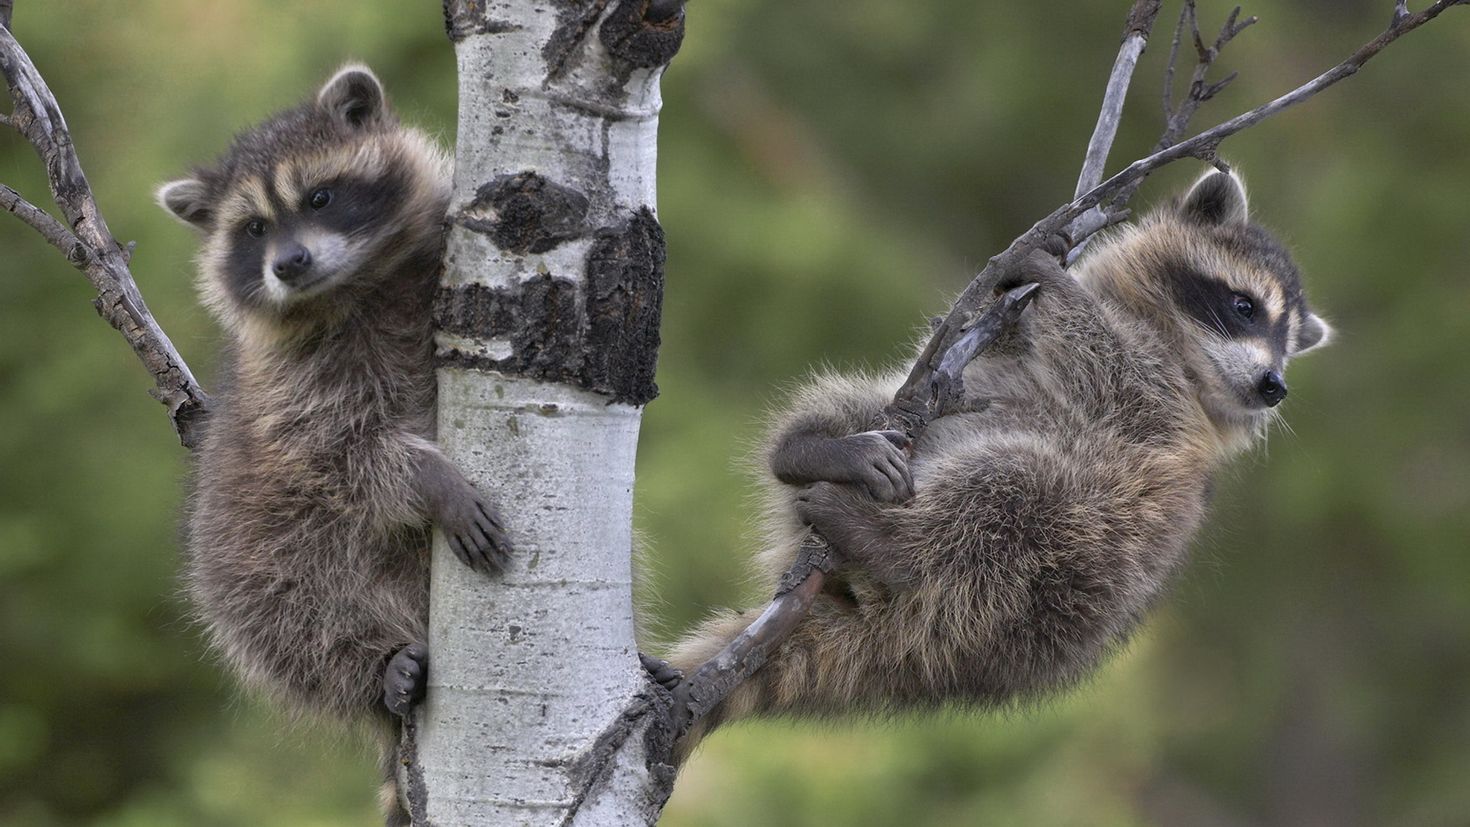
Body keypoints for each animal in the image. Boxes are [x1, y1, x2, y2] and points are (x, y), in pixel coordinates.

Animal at [667, 173, 1334, 757]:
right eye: (1245, 306)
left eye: (1287, 344)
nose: (1274, 385)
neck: (1176, 346)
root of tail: (906, 656)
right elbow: (967, 334)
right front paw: (1033, 272)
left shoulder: (1167, 416)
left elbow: (1114, 373)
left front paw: (1057, 285)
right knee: (861, 405)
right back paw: (813, 448)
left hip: (1062, 578)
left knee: (1011, 498)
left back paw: (891, 543)